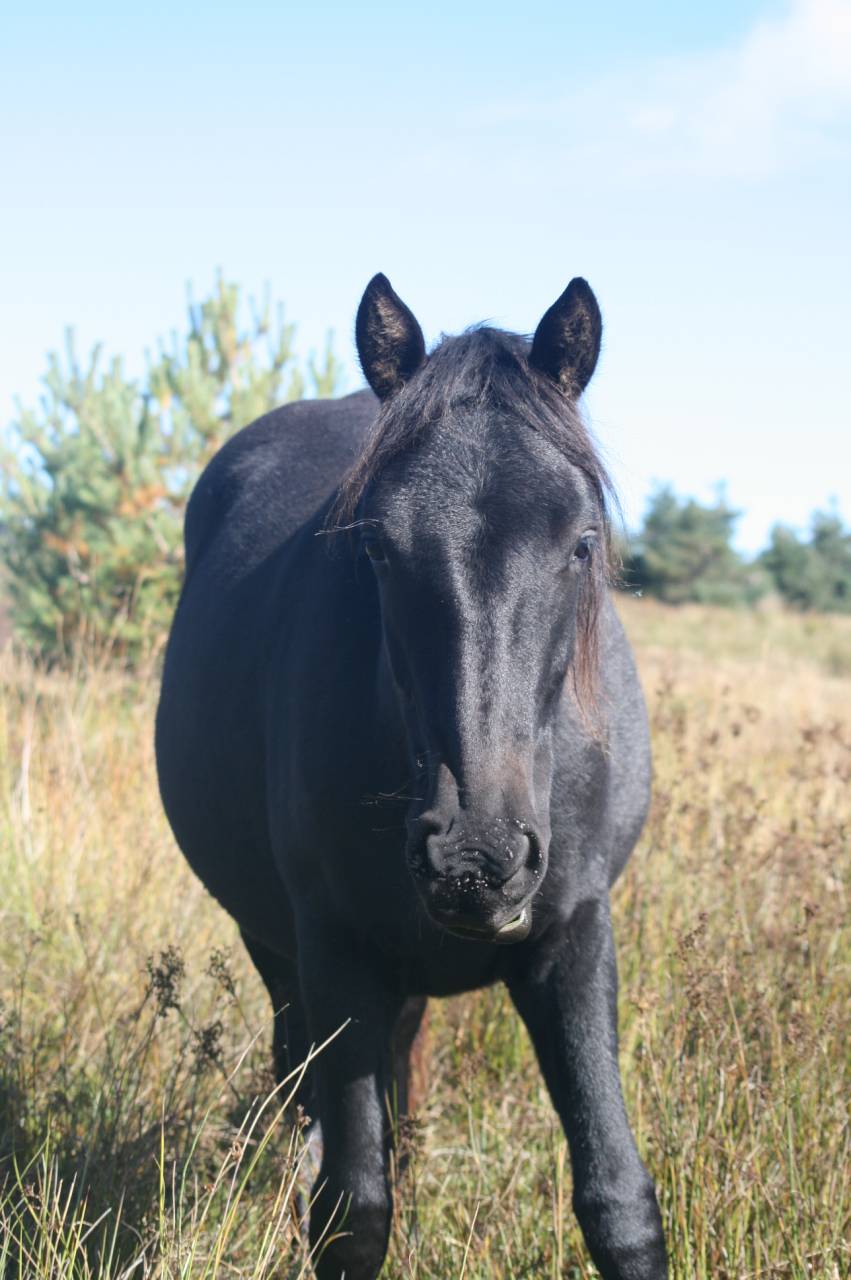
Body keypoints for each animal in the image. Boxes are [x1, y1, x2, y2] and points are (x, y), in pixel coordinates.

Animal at [155, 273, 668, 1280]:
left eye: (581, 542)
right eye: (377, 548)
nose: (478, 861)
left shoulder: (576, 938)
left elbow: (618, 1200)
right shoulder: (336, 953)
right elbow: (351, 1206)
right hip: (275, 949)